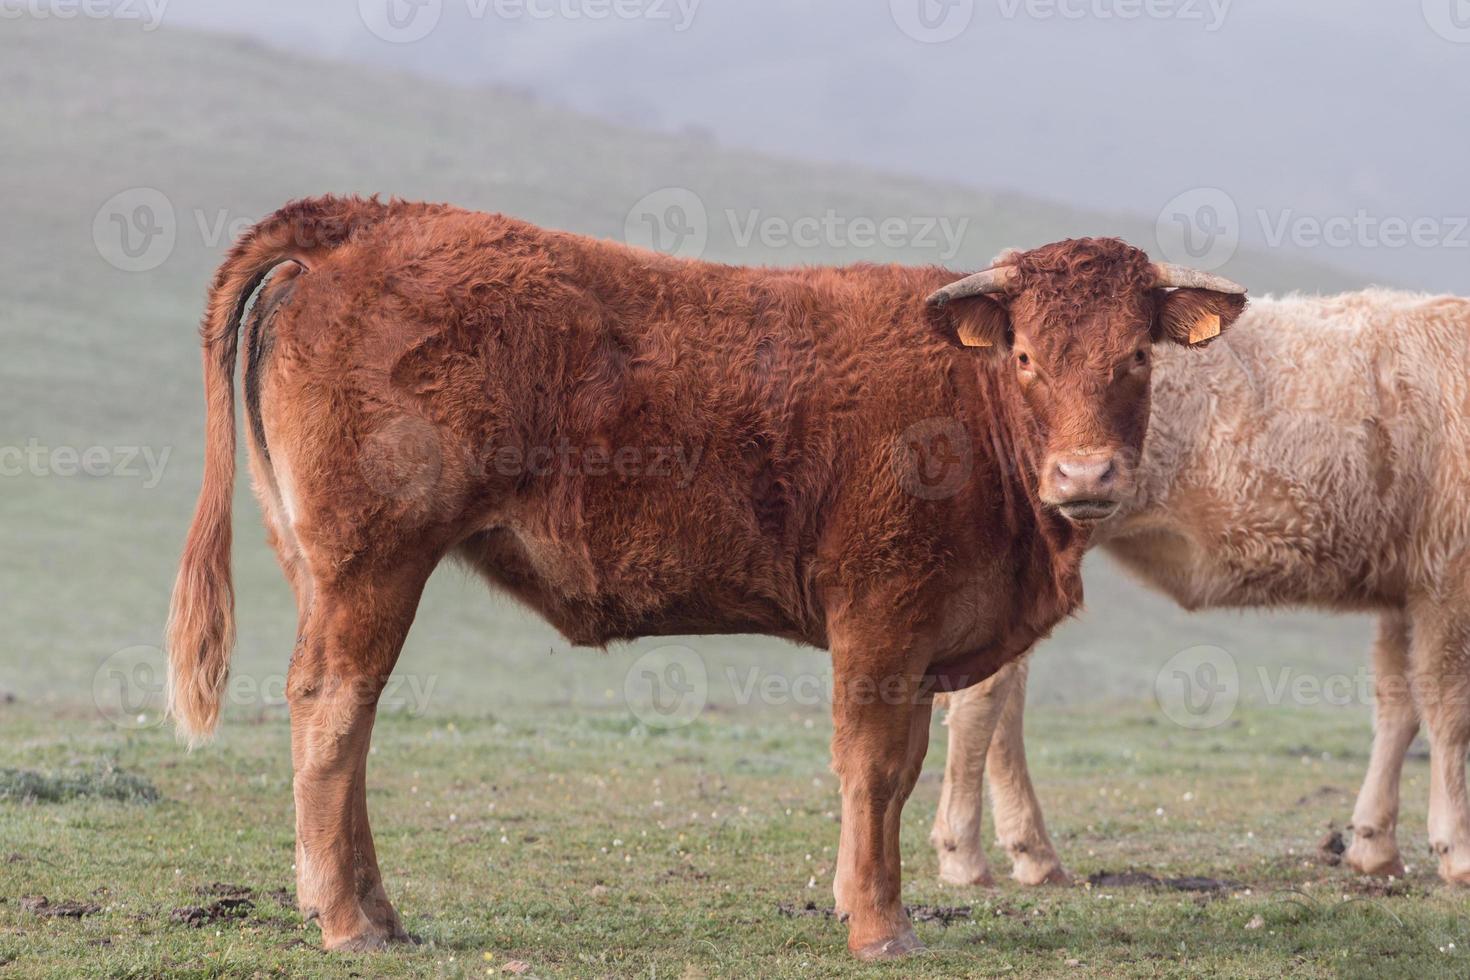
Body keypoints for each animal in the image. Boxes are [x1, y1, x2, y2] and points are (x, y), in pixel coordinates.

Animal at [166, 195, 1246, 963]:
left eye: (1136, 354)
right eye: (1024, 353)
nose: (1085, 477)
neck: (969, 404)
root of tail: (366, 218)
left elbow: (898, 770)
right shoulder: (882, 618)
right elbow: (875, 769)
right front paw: (880, 925)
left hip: (327, 567)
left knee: (347, 721)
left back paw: (378, 912)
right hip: (374, 561)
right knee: (333, 709)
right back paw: (347, 920)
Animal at [934, 290, 1470, 887]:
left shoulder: (1407, 583)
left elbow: (1398, 706)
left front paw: (1374, 845)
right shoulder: (1450, 574)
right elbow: (1449, 710)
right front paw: (1457, 849)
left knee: (1003, 698)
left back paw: (1033, 853)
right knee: (982, 699)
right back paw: (965, 854)